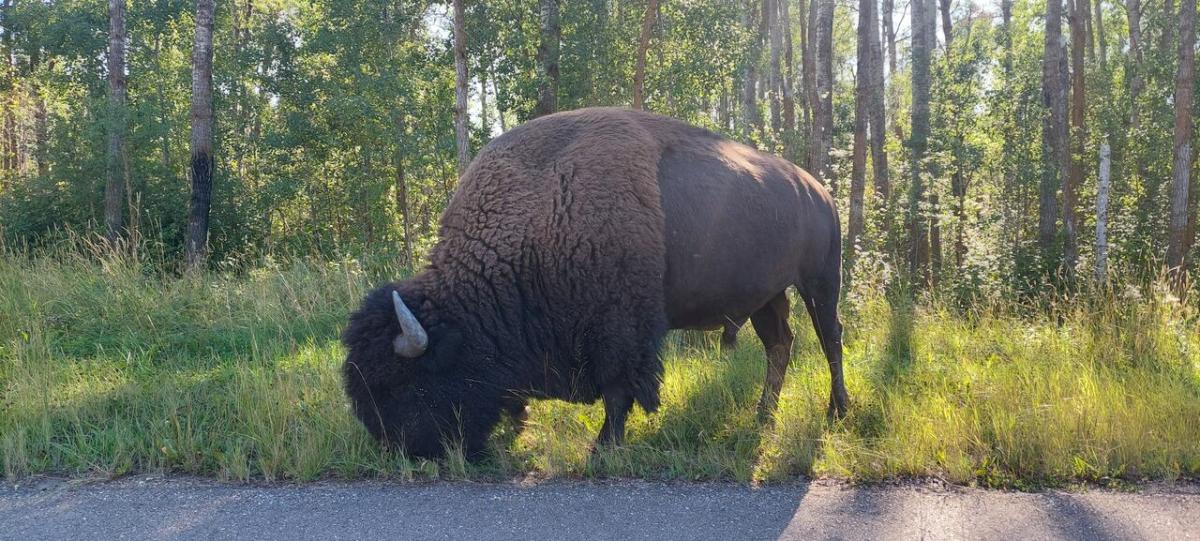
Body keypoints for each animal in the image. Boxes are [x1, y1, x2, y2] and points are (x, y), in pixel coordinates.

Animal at [343, 107, 849, 460]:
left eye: (402, 382)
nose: (398, 449)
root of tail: (819, 190)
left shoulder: (618, 330)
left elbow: (618, 389)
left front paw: (604, 445)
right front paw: (522, 423)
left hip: (820, 282)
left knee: (830, 338)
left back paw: (837, 410)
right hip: (768, 296)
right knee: (780, 343)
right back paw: (764, 416)